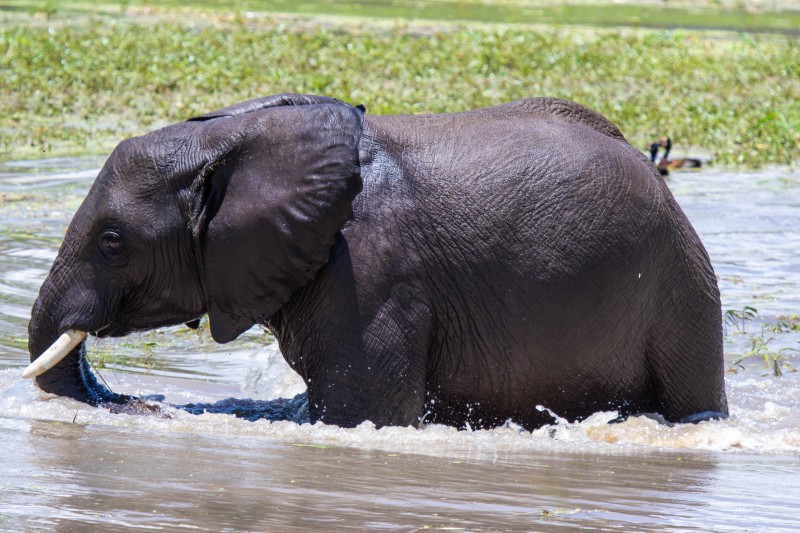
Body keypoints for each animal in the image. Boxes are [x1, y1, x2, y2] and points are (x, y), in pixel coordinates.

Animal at [25, 93, 728, 430]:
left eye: (113, 242)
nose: (144, 405)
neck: (234, 138)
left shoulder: (371, 274)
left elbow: (362, 412)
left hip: (680, 284)